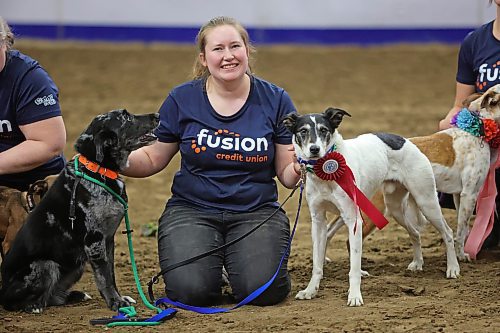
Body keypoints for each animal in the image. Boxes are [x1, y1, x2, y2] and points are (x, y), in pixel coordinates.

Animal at [0, 108, 158, 312]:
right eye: (126, 117)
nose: (158, 116)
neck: (98, 169)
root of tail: (3, 291)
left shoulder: (108, 240)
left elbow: (111, 274)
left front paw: (118, 298)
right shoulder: (94, 241)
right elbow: (104, 277)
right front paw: (116, 302)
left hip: (76, 265)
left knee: (52, 297)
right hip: (46, 265)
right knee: (19, 302)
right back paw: (33, 306)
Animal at [284, 108, 458, 306]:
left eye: (323, 130)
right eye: (303, 131)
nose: (314, 149)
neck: (325, 172)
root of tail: (406, 140)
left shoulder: (353, 220)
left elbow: (353, 267)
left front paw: (354, 295)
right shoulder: (318, 221)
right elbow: (317, 264)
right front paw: (310, 290)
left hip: (426, 201)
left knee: (447, 232)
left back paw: (453, 268)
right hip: (395, 208)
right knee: (415, 232)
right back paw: (418, 263)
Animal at [328, 83, 500, 262]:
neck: (477, 129)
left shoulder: (459, 195)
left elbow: (463, 228)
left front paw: (460, 254)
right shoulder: (470, 194)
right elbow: (461, 229)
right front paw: (462, 256)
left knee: (328, 230)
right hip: (374, 208)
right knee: (349, 240)